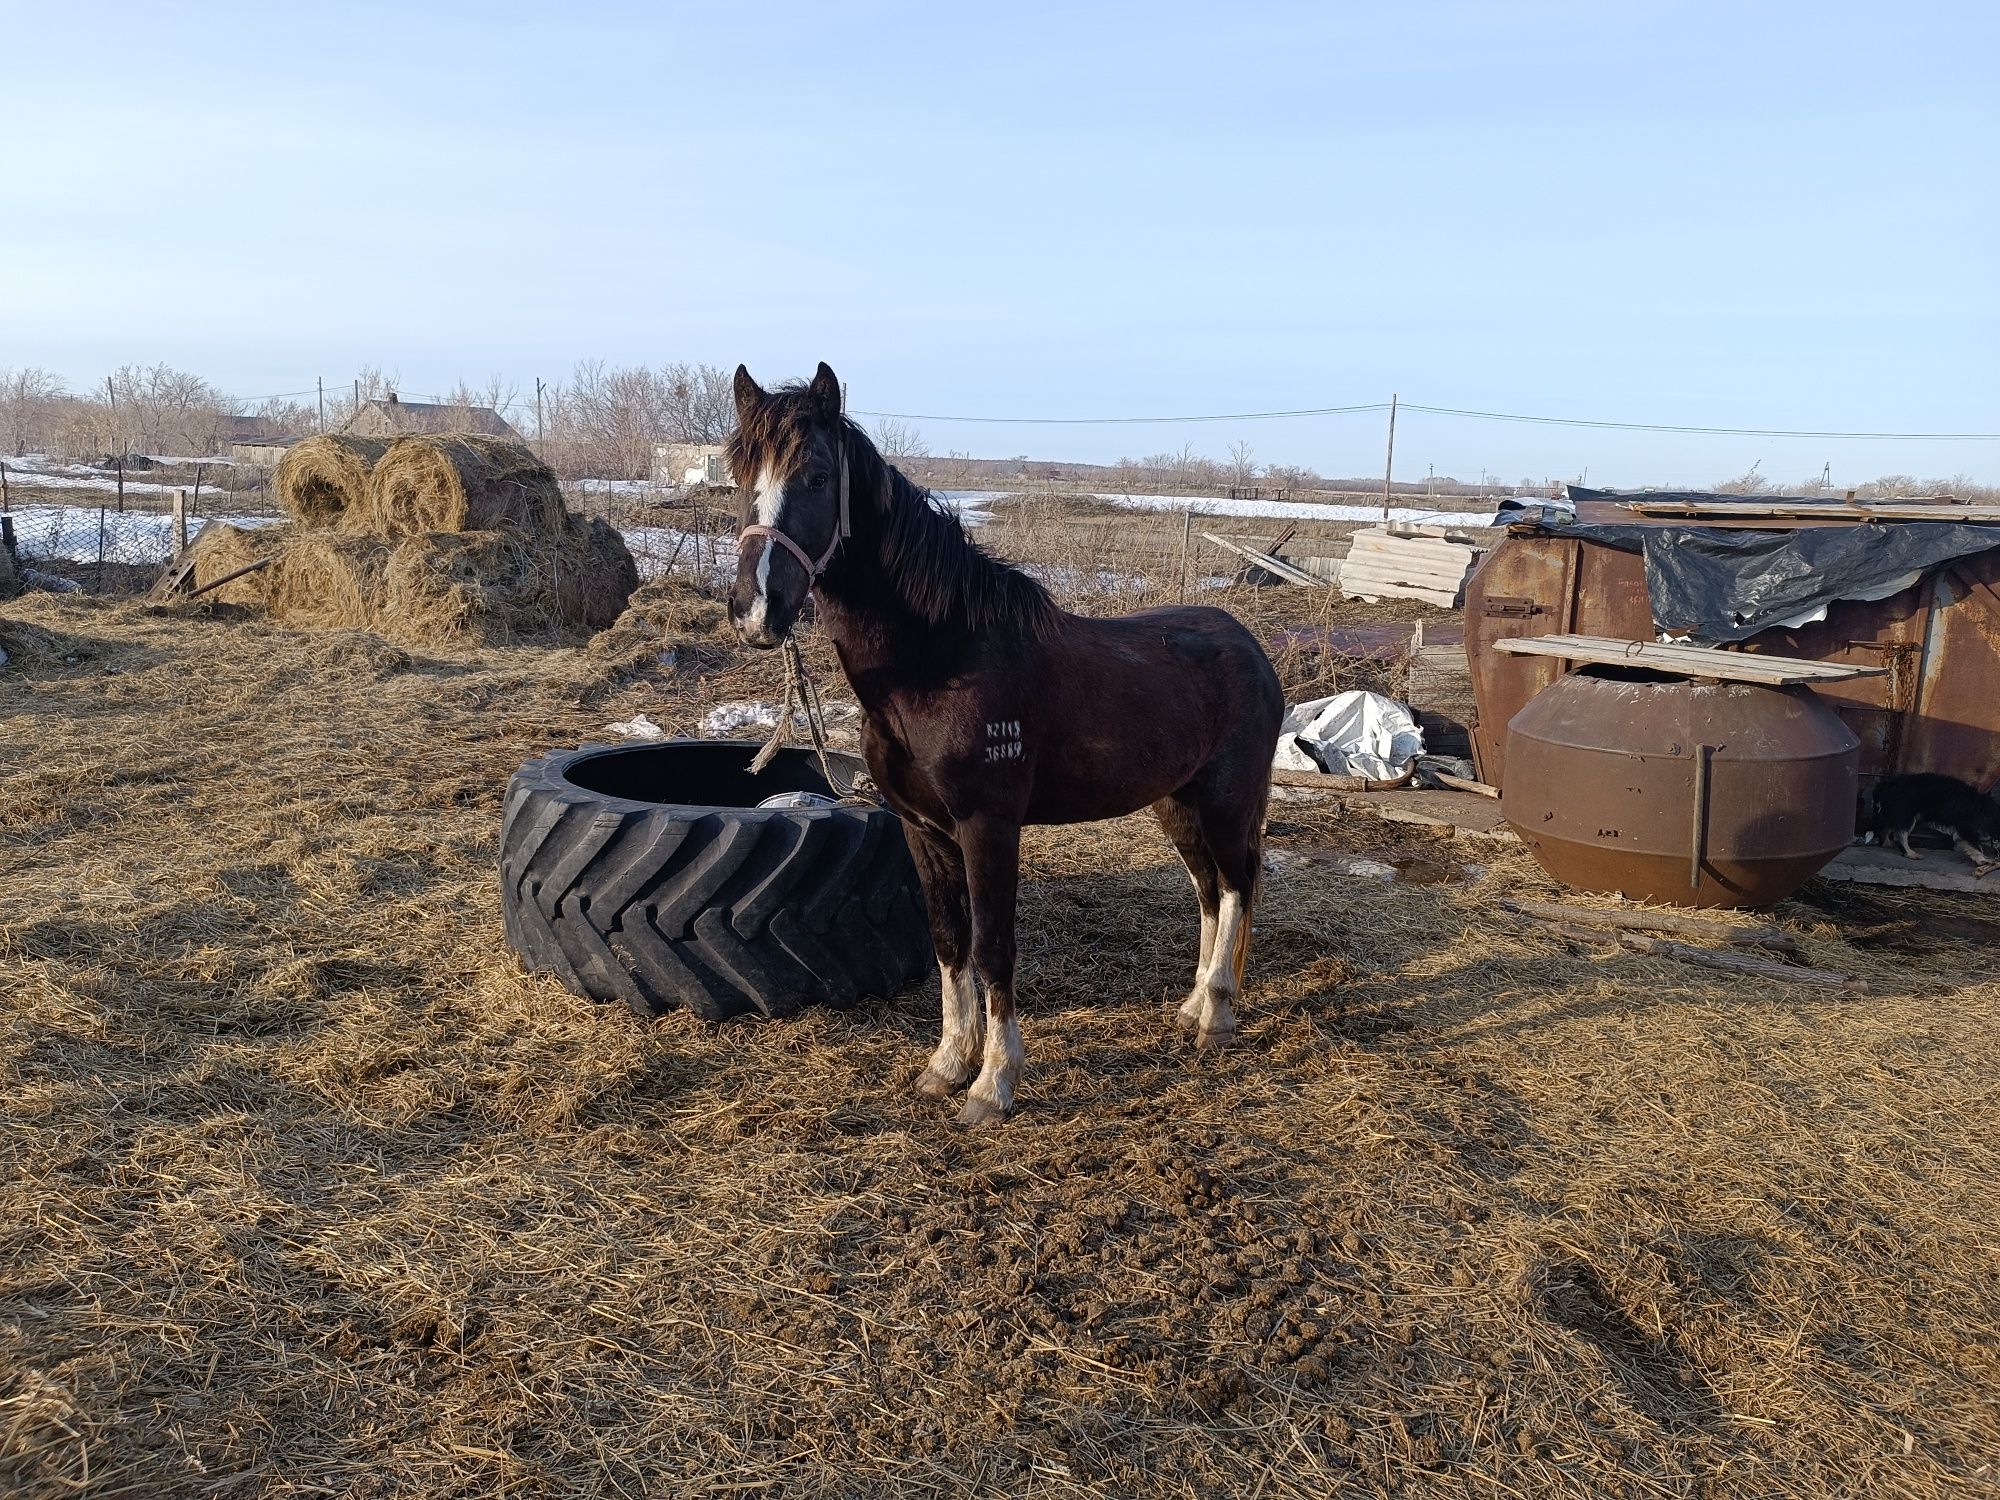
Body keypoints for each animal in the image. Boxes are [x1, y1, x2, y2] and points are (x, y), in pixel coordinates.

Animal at [732, 368, 1280, 1128]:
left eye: (816, 475)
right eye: (737, 472)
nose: (756, 610)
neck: (940, 661)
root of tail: (1250, 647)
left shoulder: (987, 828)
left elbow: (993, 947)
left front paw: (992, 1086)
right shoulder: (922, 830)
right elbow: (949, 942)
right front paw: (946, 1066)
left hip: (1227, 803)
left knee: (1236, 886)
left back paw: (1218, 1018)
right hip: (1176, 804)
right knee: (1207, 890)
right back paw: (1193, 1005)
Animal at [1864, 776, 2000, 868]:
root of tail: (1887, 784)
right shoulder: (1966, 829)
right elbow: (1976, 846)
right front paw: (1983, 860)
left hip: (1894, 813)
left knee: (1886, 828)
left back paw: (1887, 844)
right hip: (1906, 815)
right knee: (1900, 836)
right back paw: (1911, 854)